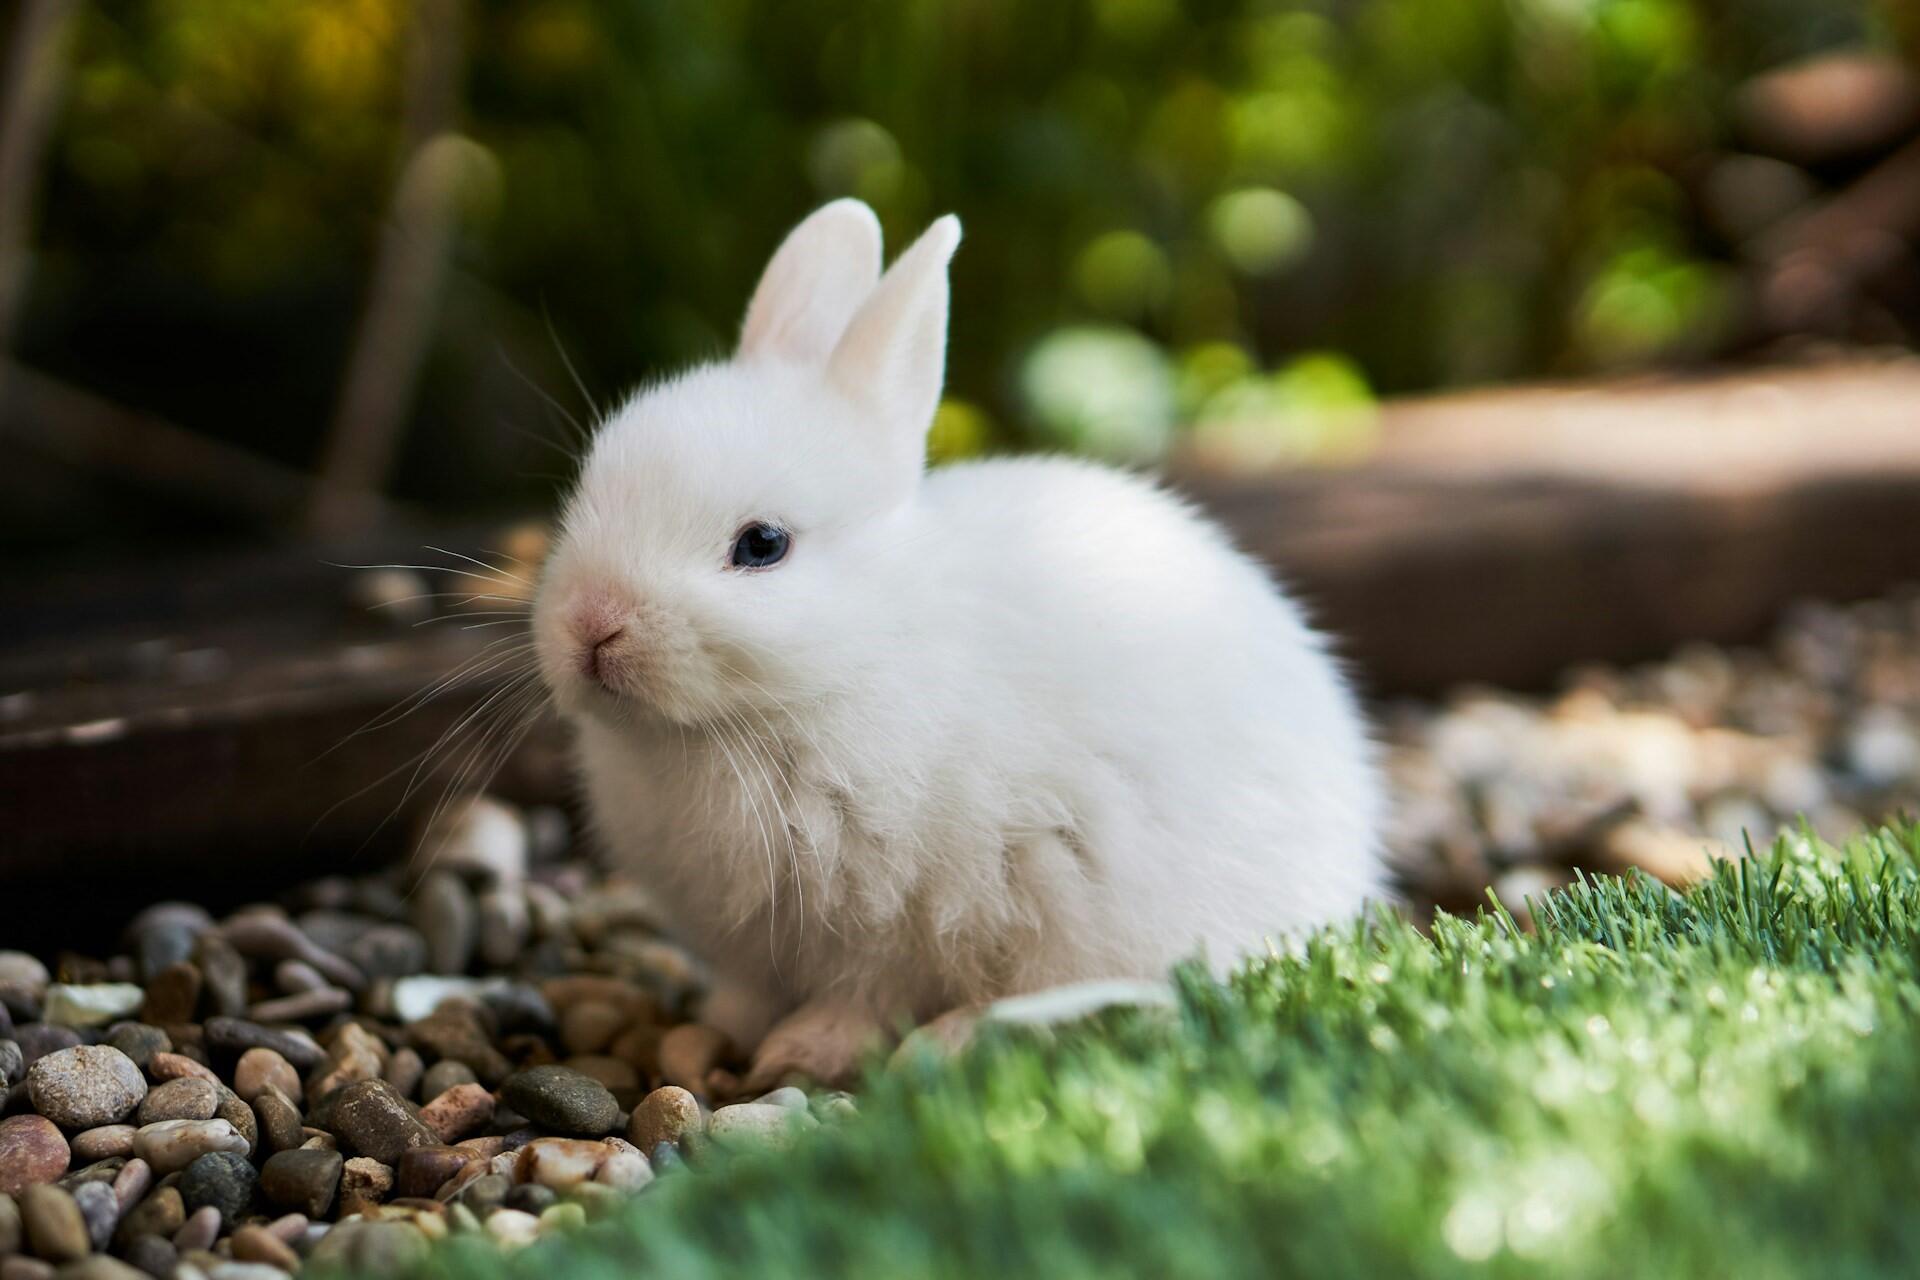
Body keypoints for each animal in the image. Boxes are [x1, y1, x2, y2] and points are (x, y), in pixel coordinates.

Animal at [532, 199, 1386, 1090]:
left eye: (763, 545)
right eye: (588, 490)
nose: (592, 624)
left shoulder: (895, 922)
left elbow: (864, 995)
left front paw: (801, 1052)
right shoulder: (755, 951)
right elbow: (745, 994)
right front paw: (711, 1033)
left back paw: (953, 1041)